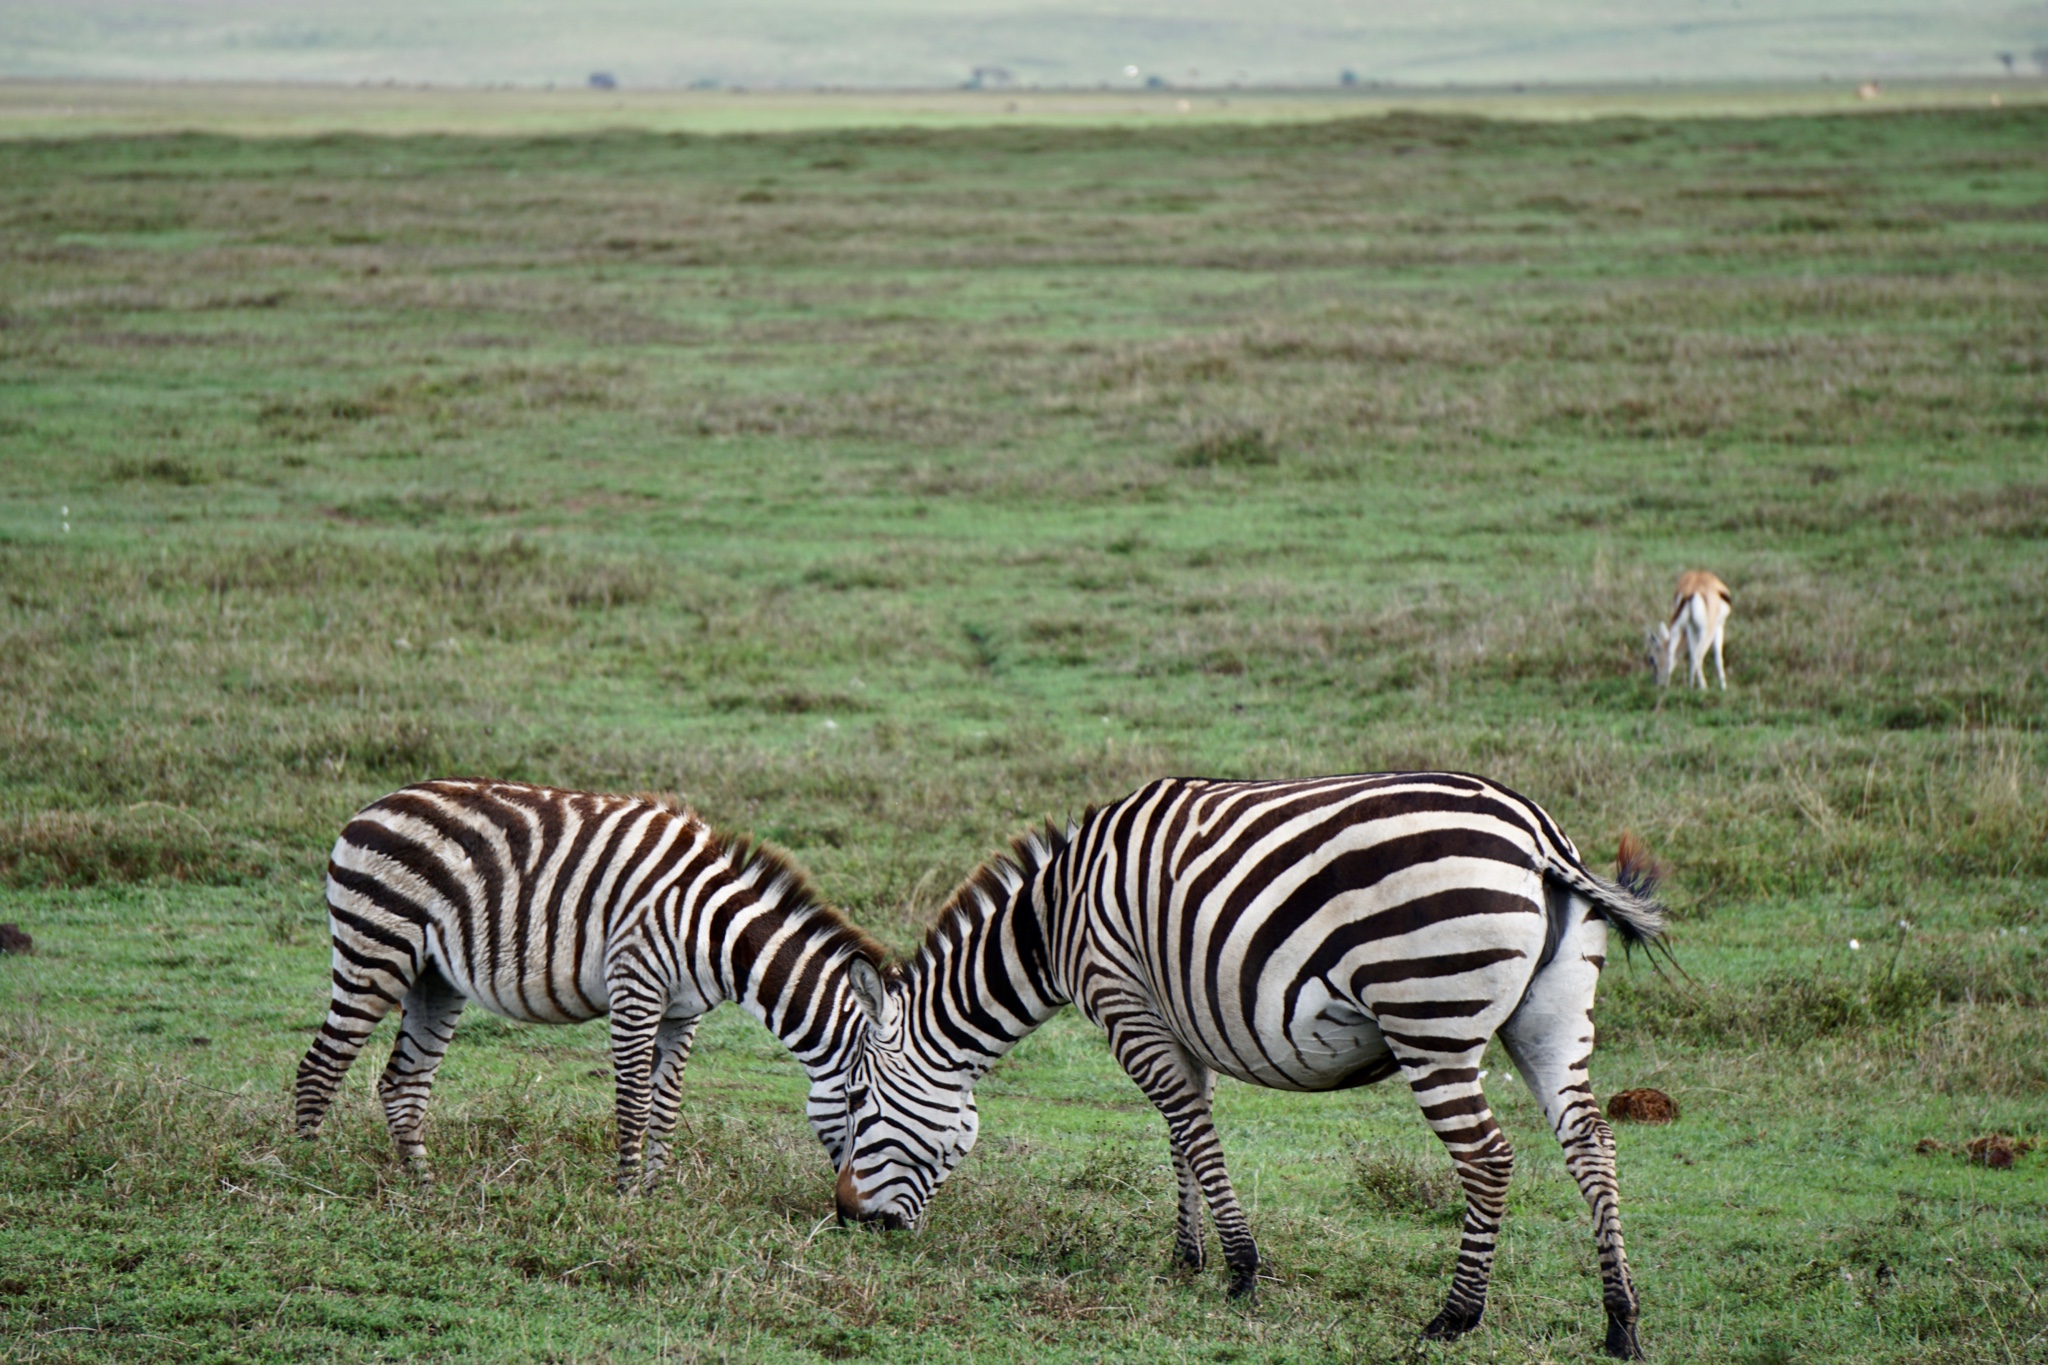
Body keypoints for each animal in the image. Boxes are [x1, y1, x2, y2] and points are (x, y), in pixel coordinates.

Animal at [294, 785, 880, 1186]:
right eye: (858, 1100)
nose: (873, 1222)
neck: (715, 927)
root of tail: (371, 808)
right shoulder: (636, 983)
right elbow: (635, 1101)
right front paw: (627, 1197)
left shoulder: (684, 1010)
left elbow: (666, 1104)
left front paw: (657, 1195)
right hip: (375, 946)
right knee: (320, 1066)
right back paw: (308, 1172)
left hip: (433, 976)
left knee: (403, 1083)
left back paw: (423, 1188)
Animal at [831, 773, 1662, 1358]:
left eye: (859, 1104)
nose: (845, 1218)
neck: (1053, 922)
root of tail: (1537, 835)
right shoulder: (1173, 1022)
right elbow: (1179, 1135)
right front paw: (1186, 1257)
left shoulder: (1125, 1002)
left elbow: (1193, 1135)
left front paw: (1239, 1268)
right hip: (1551, 1018)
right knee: (1592, 1142)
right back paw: (1620, 1321)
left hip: (1432, 1014)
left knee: (1488, 1158)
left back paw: (1455, 1316)